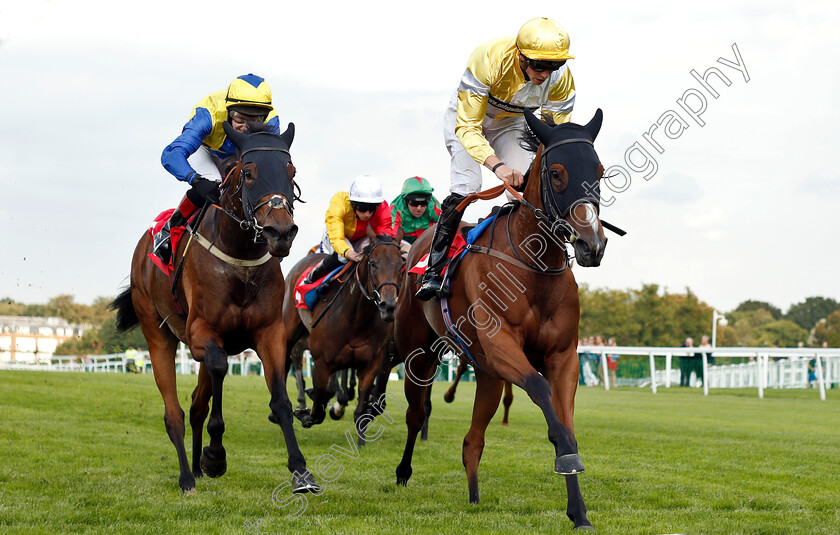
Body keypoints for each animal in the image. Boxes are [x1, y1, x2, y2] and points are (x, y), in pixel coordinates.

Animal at [111, 120, 318, 494]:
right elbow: (220, 369)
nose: (280, 232)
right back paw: (187, 476)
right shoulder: (201, 334)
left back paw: (196, 466)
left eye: (291, 171)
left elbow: (279, 401)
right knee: (175, 413)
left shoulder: (269, 334)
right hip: (157, 331)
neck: (241, 261)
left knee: (195, 406)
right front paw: (215, 455)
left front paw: (300, 470)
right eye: (248, 173)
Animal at [280, 227, 406, 448]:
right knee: (289, 362)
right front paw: (304, 412)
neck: (356, 317)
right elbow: (318, 409)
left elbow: (361, 411)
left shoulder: (372, 364)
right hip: (291, 334)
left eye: (400, 265)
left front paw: (361, 443)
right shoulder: (322, 362)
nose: (388, 305)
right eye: (373, 263)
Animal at [394, 109, 612, 532]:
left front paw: (579, 511)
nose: (591, 244)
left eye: (600, 170)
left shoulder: (562, 356)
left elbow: (565, 420)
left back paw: (474, 497)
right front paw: (565, 457)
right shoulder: (501, 346)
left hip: (488, 374)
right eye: (557, 173)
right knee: (415, 413)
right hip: (419, 353)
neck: (535, 266)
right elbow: (541, 391)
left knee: (472, 440)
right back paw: (402, 472)